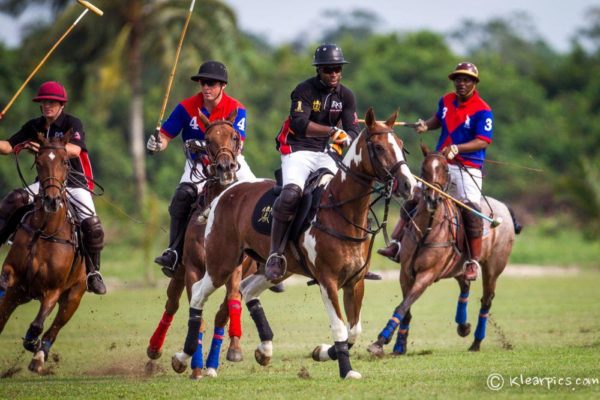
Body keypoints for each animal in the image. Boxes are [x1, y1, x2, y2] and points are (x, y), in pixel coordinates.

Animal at [0, 133, 86, 374]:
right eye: (38, 162)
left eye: (65, 162)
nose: (52, 200)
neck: (45, 230)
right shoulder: (14, 277)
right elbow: (5, 278)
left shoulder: (53, 290)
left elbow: (38, 324)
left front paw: (32, 343)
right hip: (19, 294)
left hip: (74, 295)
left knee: (54, 328)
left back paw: (39, 356)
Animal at [148, 111, 258, 378]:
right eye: (207, 140)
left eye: (235, 136)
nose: (226, 168)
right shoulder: (193, 269)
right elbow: (196, 316)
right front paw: (192, 365)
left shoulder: (235, 270)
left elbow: (229, 303)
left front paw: (233, 350)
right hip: (178, 271)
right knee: (172, 304)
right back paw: (155, 349)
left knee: (221, 313)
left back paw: (213, 363)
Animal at [170, 107, 418, 378]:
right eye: (379, 147)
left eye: (402, 146)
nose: (409, 184)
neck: (341, 210)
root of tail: (224, 193)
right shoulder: (328, 280)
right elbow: (340, 328)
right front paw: (346, 370)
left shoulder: (356, 281)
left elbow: (354, 330)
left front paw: (322, 352)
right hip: (221, 263)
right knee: (197, 296)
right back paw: (182, 358)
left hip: (275, 268)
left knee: (246, 289)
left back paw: (264, 349)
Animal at [366, 145, 516, 356]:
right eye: (423, 168)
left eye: (445, 169)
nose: (432, 199)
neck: (426, 230)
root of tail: (505, 209)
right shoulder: (405, 272)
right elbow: (406, 309)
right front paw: (399, 345)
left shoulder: (427, 275)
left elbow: (403, 306)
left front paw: (380, 341)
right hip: (459, 266)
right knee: (465, 286)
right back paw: (463, 326)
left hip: (493, 267)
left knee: (486, 300)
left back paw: (476, 342)